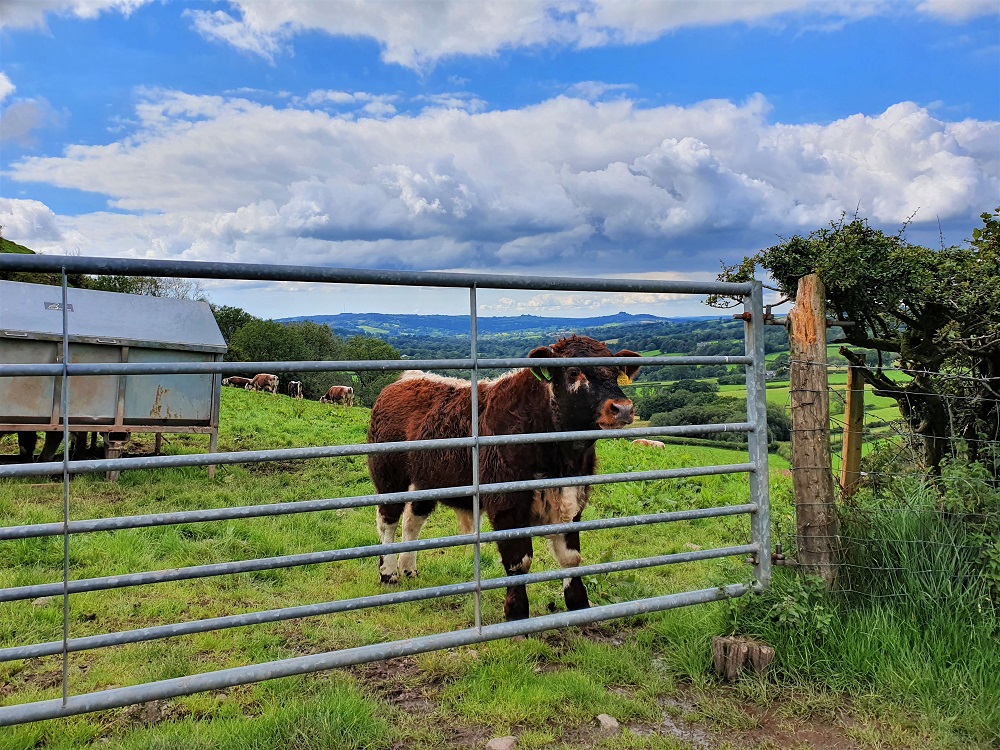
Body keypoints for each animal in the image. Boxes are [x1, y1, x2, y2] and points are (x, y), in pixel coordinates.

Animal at [367, 335, 641, 621]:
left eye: (616, 371)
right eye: (574, 371)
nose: (622, 408)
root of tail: (405, 379)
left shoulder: (571, 501)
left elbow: (571, 558)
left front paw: (578, 605)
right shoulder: (508, 506)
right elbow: (519, 561)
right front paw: (517, 612)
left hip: (427, 482)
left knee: (413, 519)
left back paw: (408, 568)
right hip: (389, 477)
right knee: (387, 520)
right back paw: (389, 573)